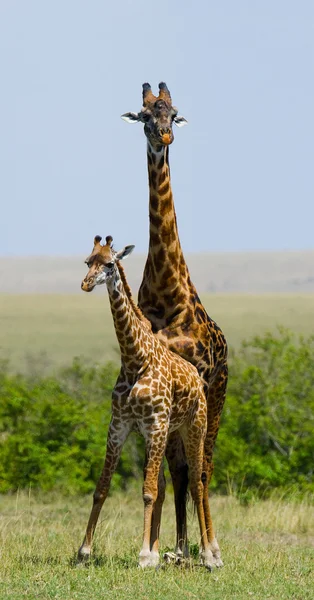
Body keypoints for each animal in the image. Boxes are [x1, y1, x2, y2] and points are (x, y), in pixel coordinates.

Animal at [78, 234, 216, 568]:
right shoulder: (120, 425)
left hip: (194, 427)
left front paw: (142, 555)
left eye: (110, 264)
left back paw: (208, 556)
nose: (86, 284)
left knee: (197, 482)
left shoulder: (154, 424)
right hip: (165, 434)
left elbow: (148, 491)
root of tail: (197, 378)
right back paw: (162, 553)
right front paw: (84, 551)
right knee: (168, 484)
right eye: (88, 261)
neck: (134, 359)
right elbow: (102, 489)